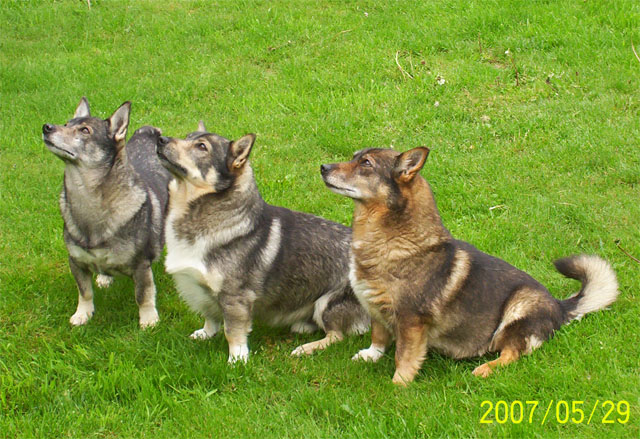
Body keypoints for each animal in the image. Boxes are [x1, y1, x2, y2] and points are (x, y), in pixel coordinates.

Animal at [42, 98, 172, 328]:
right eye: (66, 124)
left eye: (85, 130)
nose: (47, 127)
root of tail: (148, 133)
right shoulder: (76, 261)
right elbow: (84, 292)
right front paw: (83, 314)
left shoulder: (141, 266)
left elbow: (143, 295)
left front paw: (148, 320)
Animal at [156, 122, 370, 362]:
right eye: (187, 136)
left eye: (201, 146)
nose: (161, 139)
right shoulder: (204, 293)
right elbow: (210, 318)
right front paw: (206, 334)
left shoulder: (235, 298)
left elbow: (233, 332)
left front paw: (237, 360)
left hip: (327, 304)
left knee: (336, 336)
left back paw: (307, 348)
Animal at [322, 148, 616, 384]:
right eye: (354, 157)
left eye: (366, 163)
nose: (323, 167)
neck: (389, 238)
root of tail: (559, 305)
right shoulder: (376, 308)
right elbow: (379, 336)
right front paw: (371, 355)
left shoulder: (411, 320)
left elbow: (403, 356)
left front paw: (399, 385)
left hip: (518, 308)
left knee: (512, 353)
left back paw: (485, 369)